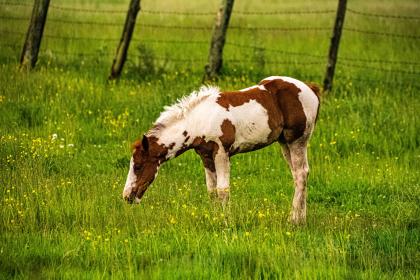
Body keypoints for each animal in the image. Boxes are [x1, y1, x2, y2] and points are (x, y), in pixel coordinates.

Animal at [123, 75, 320, 224]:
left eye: (138, 166)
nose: (127, 197)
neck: (198, 122)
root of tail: (310, 88)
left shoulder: (221, 153)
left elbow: (222, 189)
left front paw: (226, 221)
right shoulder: (206, 156)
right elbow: (211, 190)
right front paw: (215, 218)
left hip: (297, 140)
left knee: (301, 173)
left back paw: (293, 220)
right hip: (284, 142)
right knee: (298, 174)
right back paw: (301, 218)